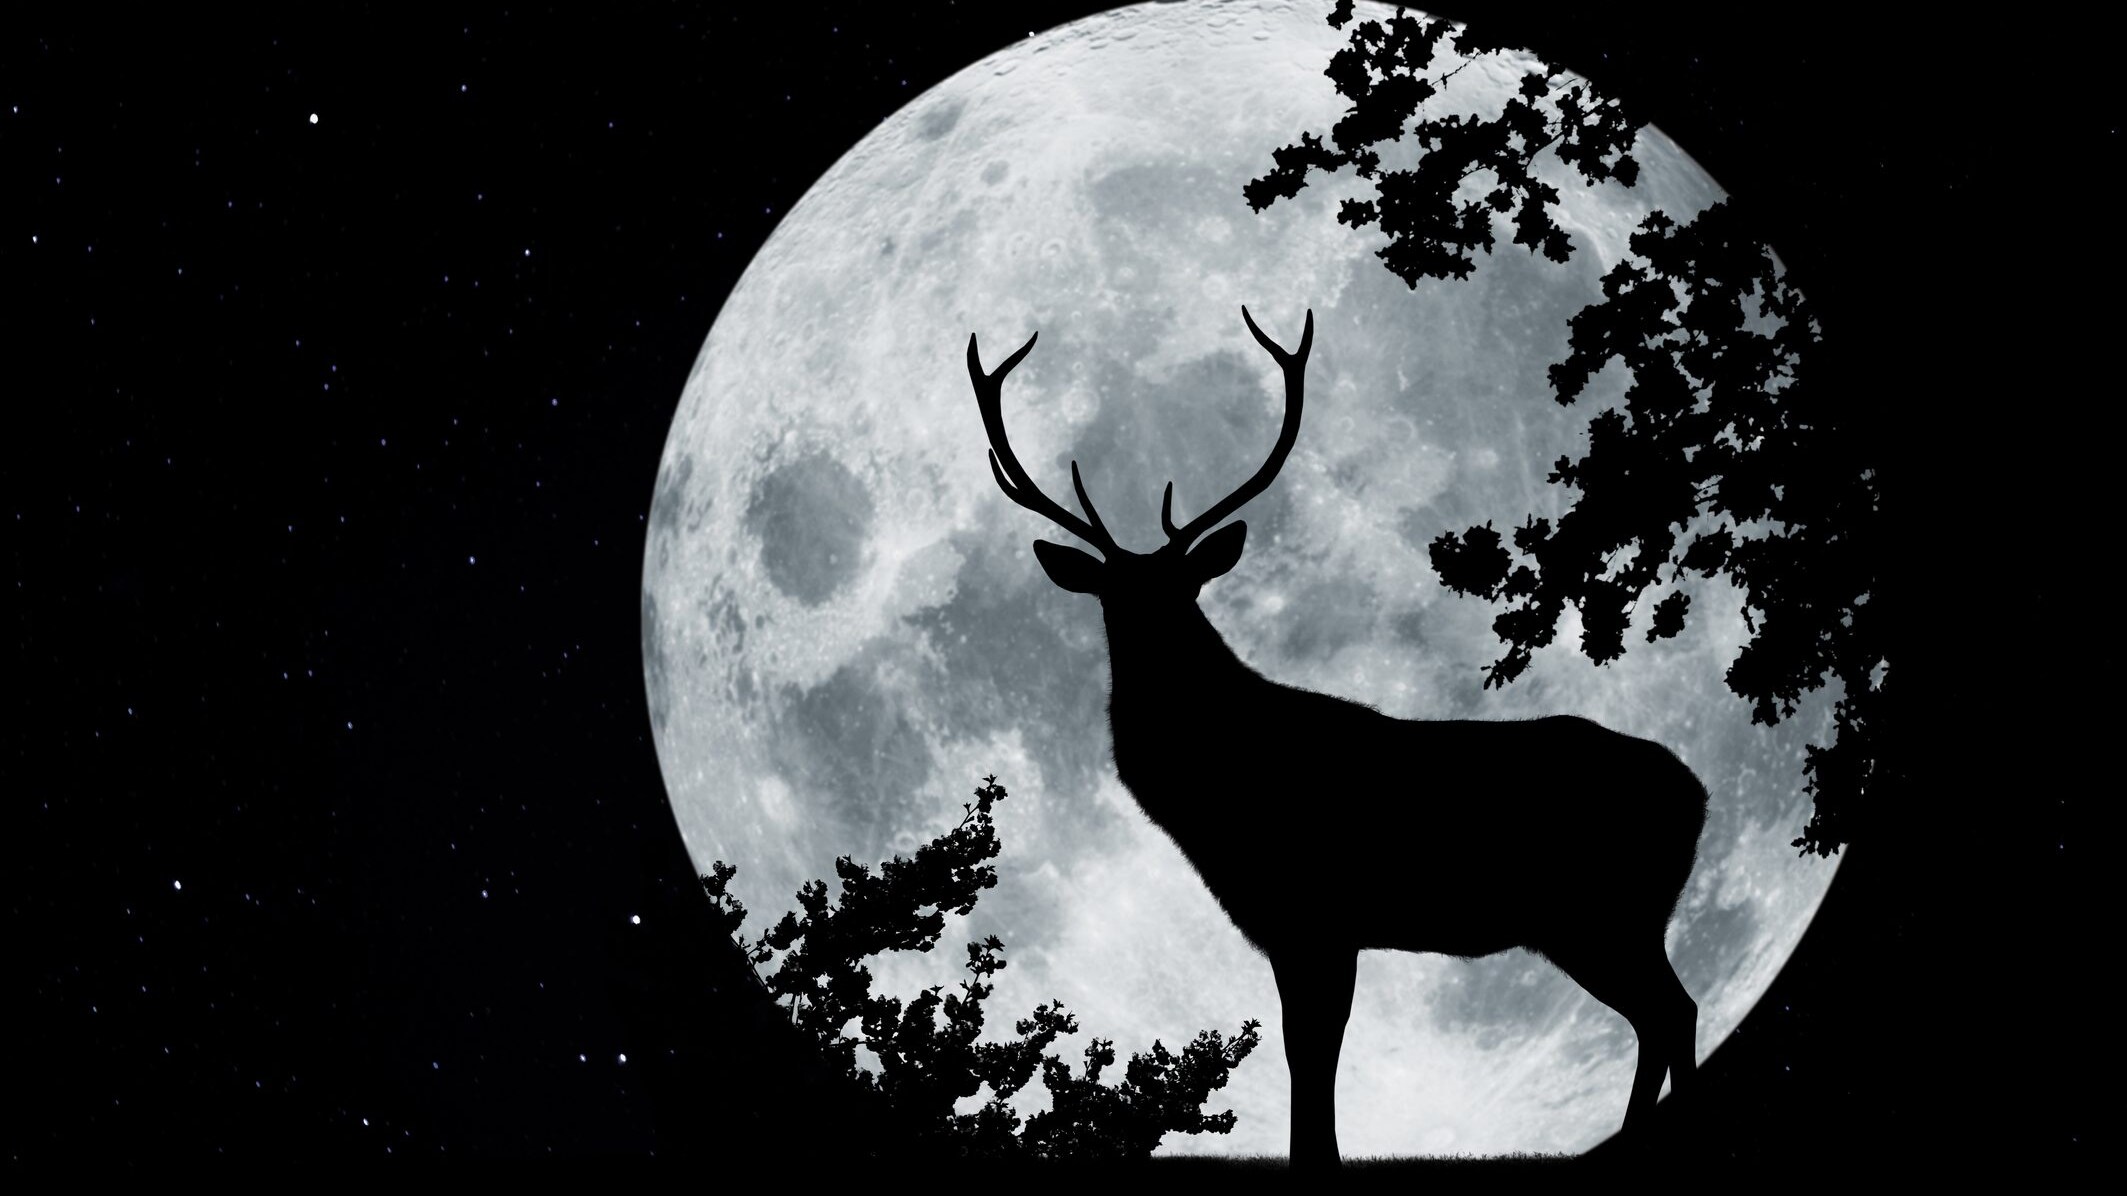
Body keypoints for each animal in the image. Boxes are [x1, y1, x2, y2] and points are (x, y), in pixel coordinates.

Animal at [966, 307, 1711, 1167]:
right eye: (1112, 596)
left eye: (1183, 587)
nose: (1151, 641)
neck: (1216, 791)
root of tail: (1698, 794)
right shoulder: (1294, 924)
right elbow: (1308, 1049)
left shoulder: (1315, 911)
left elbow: (1311, 1051)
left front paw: (1315, 1157)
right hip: (1602, 920)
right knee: (1662, 1014)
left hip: (1602, 909)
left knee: (1672, 1011)